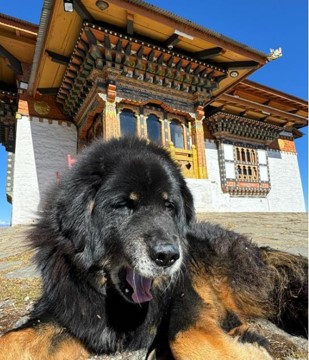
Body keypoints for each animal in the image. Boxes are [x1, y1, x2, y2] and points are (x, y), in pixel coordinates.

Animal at [0, 136, 306, 358]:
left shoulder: (186, 295)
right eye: (125, 205)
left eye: (169, 206)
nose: (168, 256)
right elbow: (13, 339)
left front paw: (253, 346)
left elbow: (183, 336)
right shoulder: (70, 312)